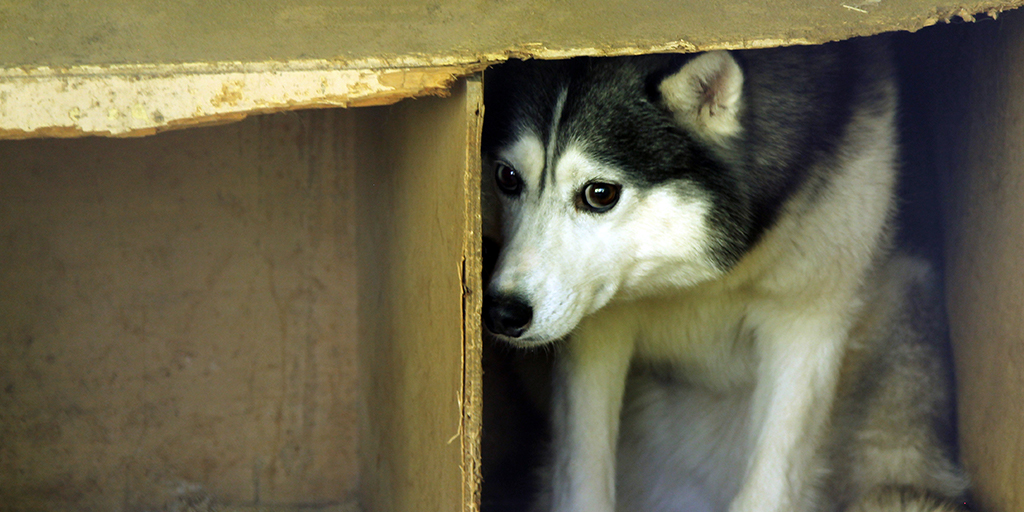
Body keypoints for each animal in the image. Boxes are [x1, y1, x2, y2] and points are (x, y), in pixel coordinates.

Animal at [479, 39, 966, 512]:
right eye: (507, 177)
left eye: (600, 193)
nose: (503, 313)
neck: (703, 279)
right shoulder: (596, 332)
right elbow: (581, 481)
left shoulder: (808, 320)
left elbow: (768, 488)